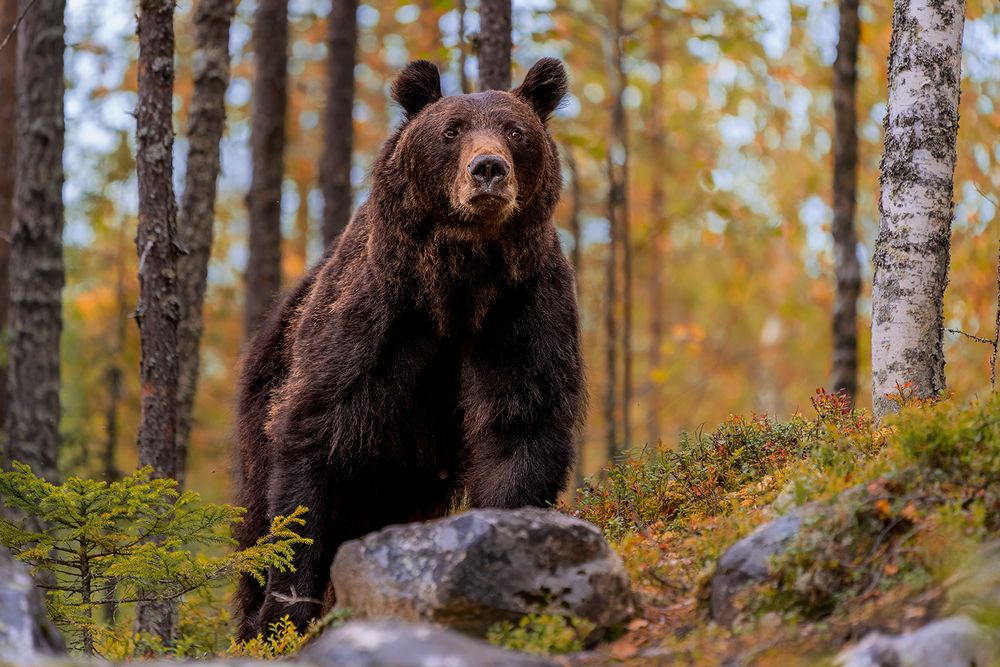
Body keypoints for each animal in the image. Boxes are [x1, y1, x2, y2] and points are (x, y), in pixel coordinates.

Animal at [234, 58, 584, 640]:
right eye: (451, 131)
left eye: (515, 131)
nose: (488, 170)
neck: (458, 282)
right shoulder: (373, 321)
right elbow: (311, 448)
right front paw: (285, 616)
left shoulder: (520, 309)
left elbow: (519, 427)